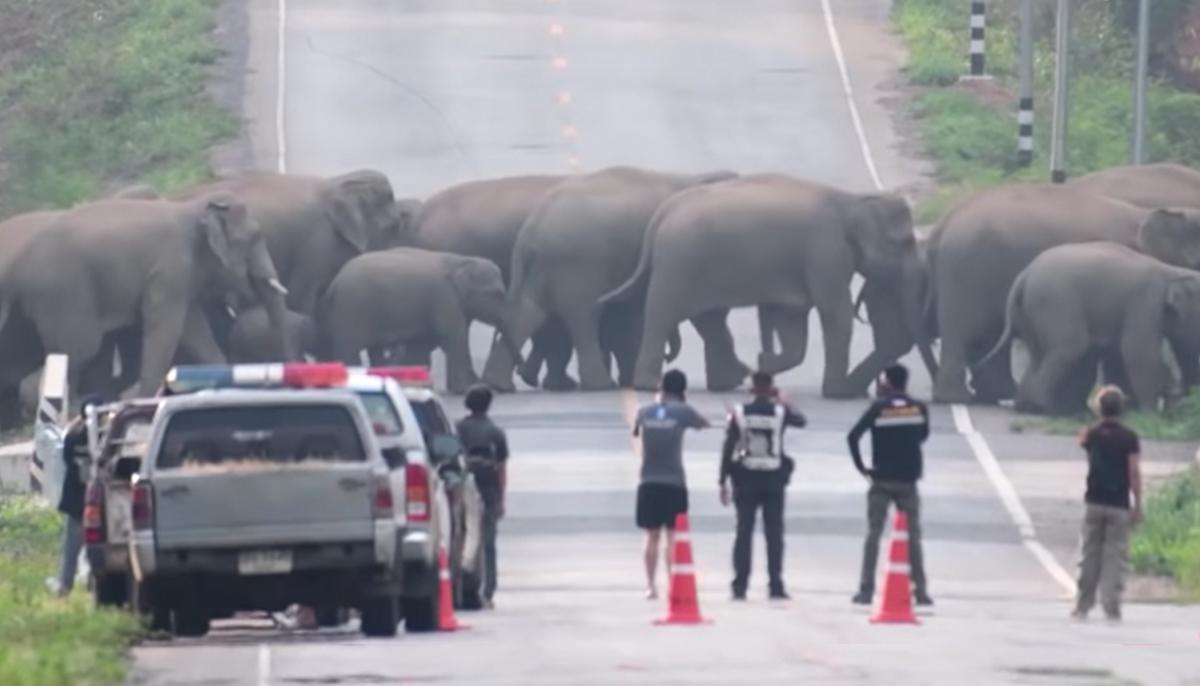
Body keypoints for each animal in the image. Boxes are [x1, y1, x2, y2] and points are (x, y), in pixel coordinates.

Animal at [0, 194, 289, 403]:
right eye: (255, 237)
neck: (193, 207)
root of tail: (16, 266)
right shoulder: (169, 272)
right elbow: (165, 329)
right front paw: (144, 401)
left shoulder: (179, 279)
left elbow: (193, 329)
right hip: (63, 295)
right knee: (80, 351)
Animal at [319, 248, 525, 394]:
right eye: (497, 294)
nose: (512, 387)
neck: (461, 260)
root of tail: (335, 284)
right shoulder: (445, 299)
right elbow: (453, 338)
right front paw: (465, 389)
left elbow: (422, 344)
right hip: (352, 311)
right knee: (349, 349)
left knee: (374, 350)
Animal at [482, 166, 738, 392]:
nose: (669, 356)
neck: (695, 178)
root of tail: (529, 233)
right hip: (576, 266)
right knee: (584, 316)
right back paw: (600, 385)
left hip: (547, 268)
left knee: (528, 312)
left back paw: (500, 384)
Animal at [602, 174, 926, 396]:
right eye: (904, 243)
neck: (852, 200)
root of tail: (663, 213)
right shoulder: (825, 253)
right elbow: (835, 313)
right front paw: (839, 393)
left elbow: (792, 321)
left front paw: (765, 362)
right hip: (679, 265)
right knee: (662, 315)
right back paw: (649, 385)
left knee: (708, 319)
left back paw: (733, 378)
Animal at [982, 242, 1200, 414]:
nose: (1179, 396)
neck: (1172, 271)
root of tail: (1024, 276)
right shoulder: (1145, 301)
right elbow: (1138, 351)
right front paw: (1150, 414)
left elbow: (1116, 352)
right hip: (1054, 302)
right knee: (1069, 348)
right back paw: (1045, 409)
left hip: (1028, 312)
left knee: (1038, 354)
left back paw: (1026, 406)